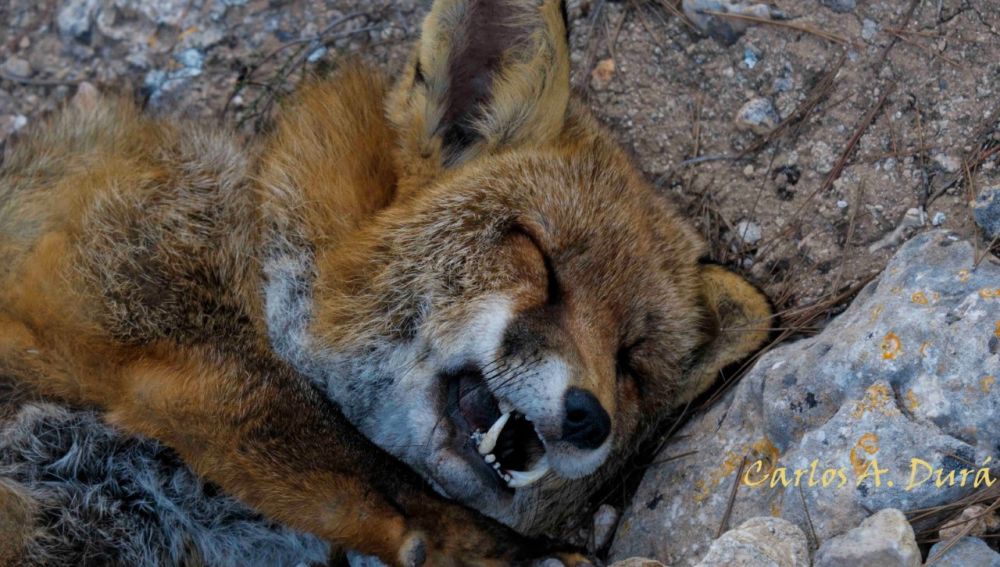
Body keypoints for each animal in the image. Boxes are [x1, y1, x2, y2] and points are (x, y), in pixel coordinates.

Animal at [0, 0, 773, 565]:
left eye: (630, 364)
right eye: (540, 258)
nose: (590, 416)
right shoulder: (131, 307)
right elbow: (349, 456)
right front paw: (504, 551)